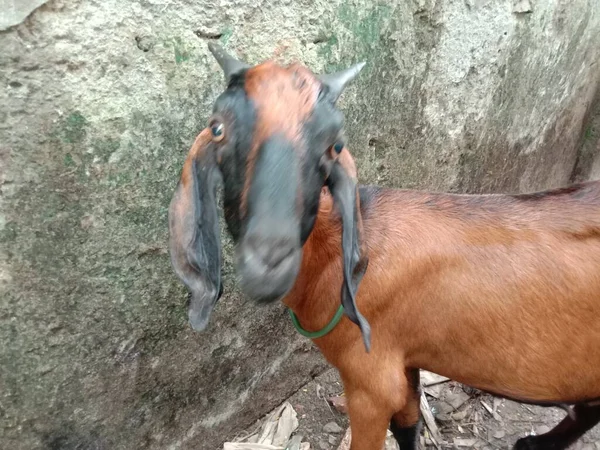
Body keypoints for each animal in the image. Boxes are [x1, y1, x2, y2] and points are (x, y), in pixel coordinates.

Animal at [166, 43, 600, 450]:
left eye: (335, 145)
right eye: (218, 129)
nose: (268, 262)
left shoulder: (371, 382)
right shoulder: (405, 363)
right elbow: (408, 425)